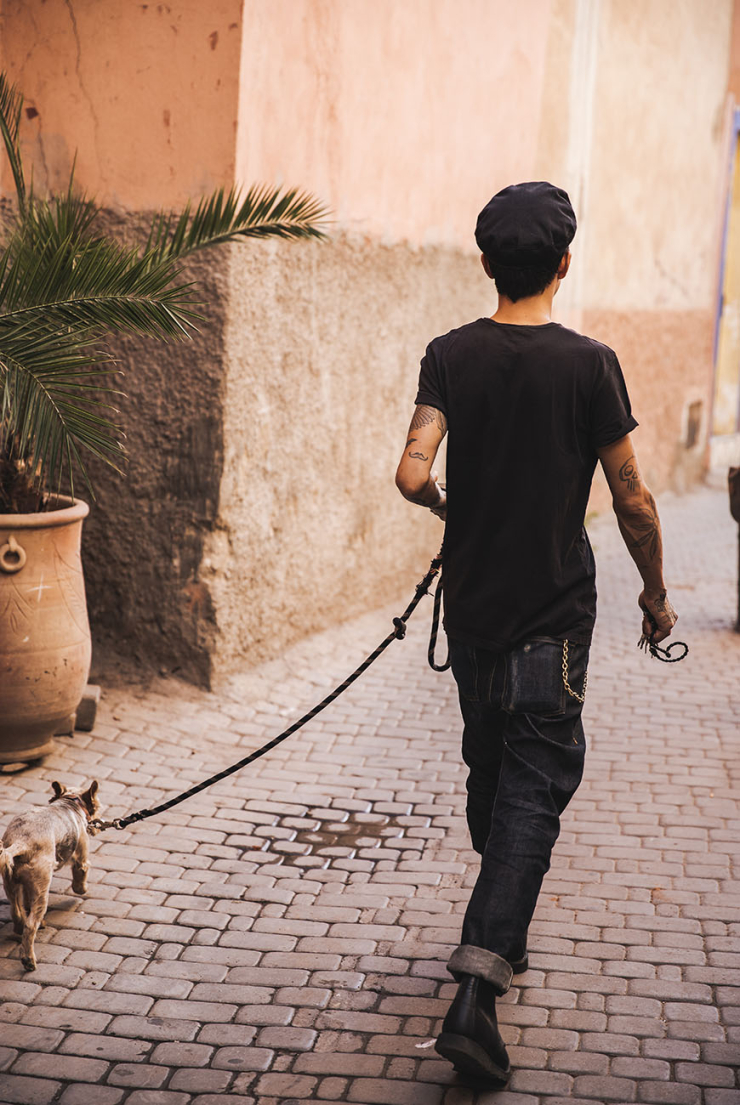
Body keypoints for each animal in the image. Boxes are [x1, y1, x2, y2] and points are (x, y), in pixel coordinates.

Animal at [0, 782, 100, 972]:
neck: (70, 802)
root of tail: (20, 842)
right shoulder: (81, 857)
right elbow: (80, 876)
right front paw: (82, 889)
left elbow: (26, 903)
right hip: (42, 886)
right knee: (30, 925)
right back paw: (29, 960)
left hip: (10, 882)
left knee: (17, 912)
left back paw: (22, 926)